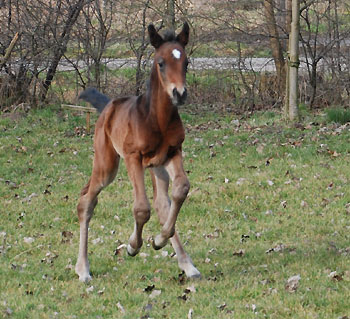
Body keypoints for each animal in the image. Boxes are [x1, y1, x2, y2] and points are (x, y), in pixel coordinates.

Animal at [75, 22, 201, 282]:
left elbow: (181, 189)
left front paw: (159, 239)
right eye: (161, 62)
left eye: (186, 62)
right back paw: (83, 269)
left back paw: (187, 264)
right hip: (107, 165)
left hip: (157, 167)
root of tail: (108, 107)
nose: (179, 93)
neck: (157, 119)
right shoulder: (133, 157)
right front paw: (133, 246)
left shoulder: (174, 152)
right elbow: (141, 208)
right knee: (86, 202)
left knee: (163, 203)